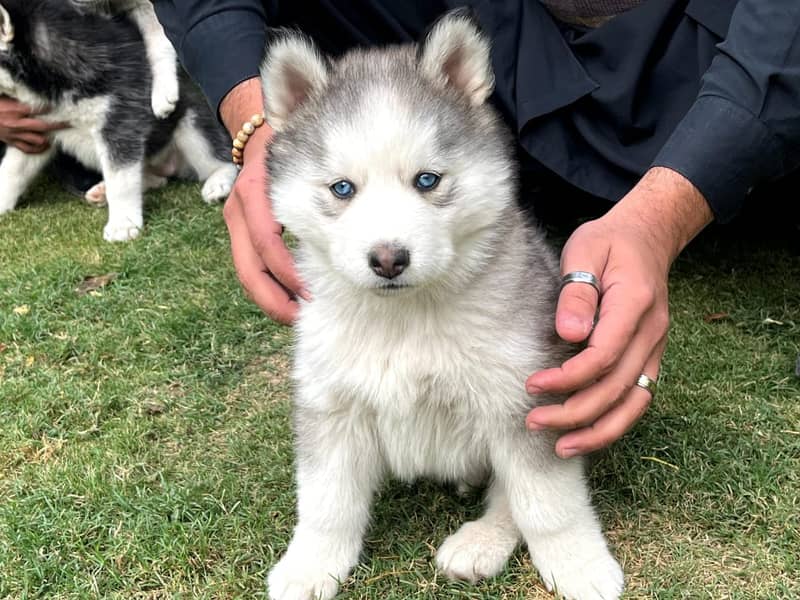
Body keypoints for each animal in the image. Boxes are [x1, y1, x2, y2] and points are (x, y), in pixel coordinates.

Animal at [0, 1, 238, 244]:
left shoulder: (120, 124)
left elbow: (121, 181)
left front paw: (122, 224)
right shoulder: (39, 131)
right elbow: (11, 171)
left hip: (193, 126)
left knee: (224, 160)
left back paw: (219, 181)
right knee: (155, 179)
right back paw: (104, 190)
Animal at [262, 9, 624, 600]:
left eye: (427, 180)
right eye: (342, 189)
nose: (388, 258)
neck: (406, 318)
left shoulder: (524, 400)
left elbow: (546, 501)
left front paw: (579, 564)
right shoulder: (331, 403)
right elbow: (326, 500)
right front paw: (310, 565)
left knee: (509, 496)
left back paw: (480, 542)